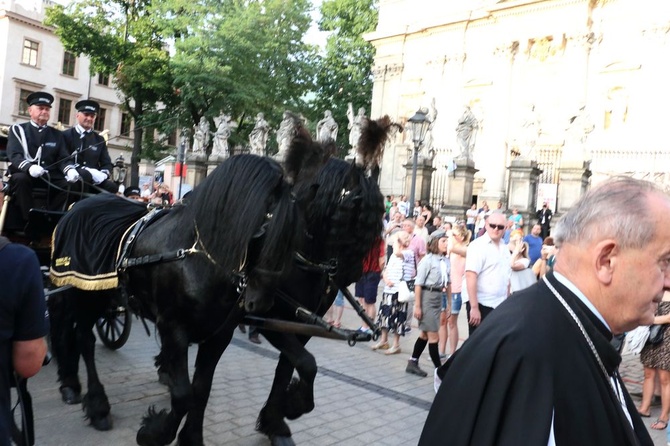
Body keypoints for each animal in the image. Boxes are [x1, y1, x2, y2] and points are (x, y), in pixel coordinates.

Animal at [49, 145, 328, 444]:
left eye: (295, 239)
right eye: (262, 234)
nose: (261, 304)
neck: (200, 259)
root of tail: (77, 206)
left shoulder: (218, 335)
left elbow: (202, 389)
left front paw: (192, 436)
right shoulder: (173, 329)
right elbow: (184, 395)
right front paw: (153, 432)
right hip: (84, 294)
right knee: (83, 338)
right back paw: (95, 403)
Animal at [252, 116, 400, 446]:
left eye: (376, 221)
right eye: (351, 214)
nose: (355, 273)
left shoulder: (300, 323)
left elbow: (290, 366)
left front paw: (277, 417)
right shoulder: (269, 316)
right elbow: (306, 364)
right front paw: (291, 405)